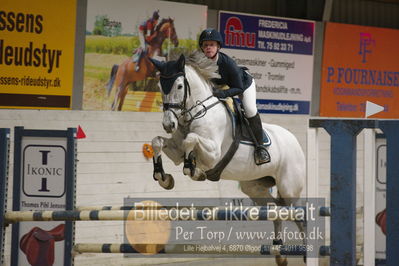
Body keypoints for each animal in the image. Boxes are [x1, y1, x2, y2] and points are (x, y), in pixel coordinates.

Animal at [150, 52, 306, 266]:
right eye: (160, 86)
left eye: (180, 86)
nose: (168, 124)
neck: (196, 112)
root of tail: (294, 140)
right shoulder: (176, 150)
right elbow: (157, 142)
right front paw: (164, 178)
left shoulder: (213, 153)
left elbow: (191, 141)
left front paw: (194, 170)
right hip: (255, 187)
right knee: (276, 211)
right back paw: (279, 254)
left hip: (289, 188)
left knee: (300, 217)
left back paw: (307, 253)